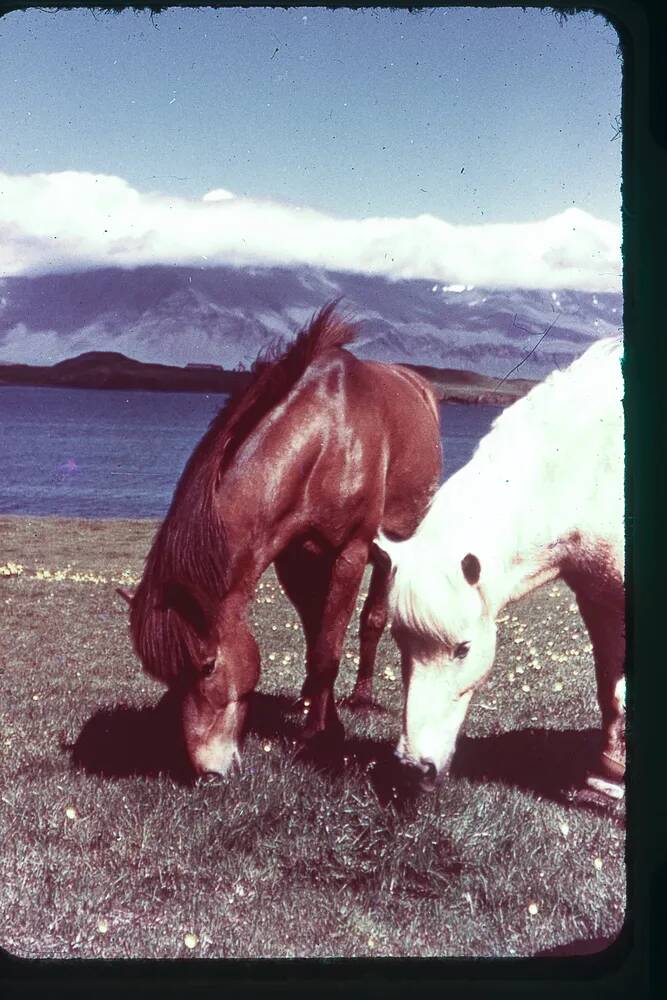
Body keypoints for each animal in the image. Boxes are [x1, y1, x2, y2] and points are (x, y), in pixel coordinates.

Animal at [126, 304, 444, 780]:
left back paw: (362, 697)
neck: (327, 436)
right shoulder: (295, 560)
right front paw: (321, 716)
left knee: (372, 620)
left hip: (391, 551)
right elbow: (316, 642)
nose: (207, 772)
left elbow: (329, 651)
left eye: (207, 665)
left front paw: (318, 736)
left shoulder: (348, 554)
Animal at [380, 340, 628, 800]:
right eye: (401, 641)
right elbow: (612, 690)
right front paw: (609, 776)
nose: (414, 768)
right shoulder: (601, 601)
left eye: (463, 649)